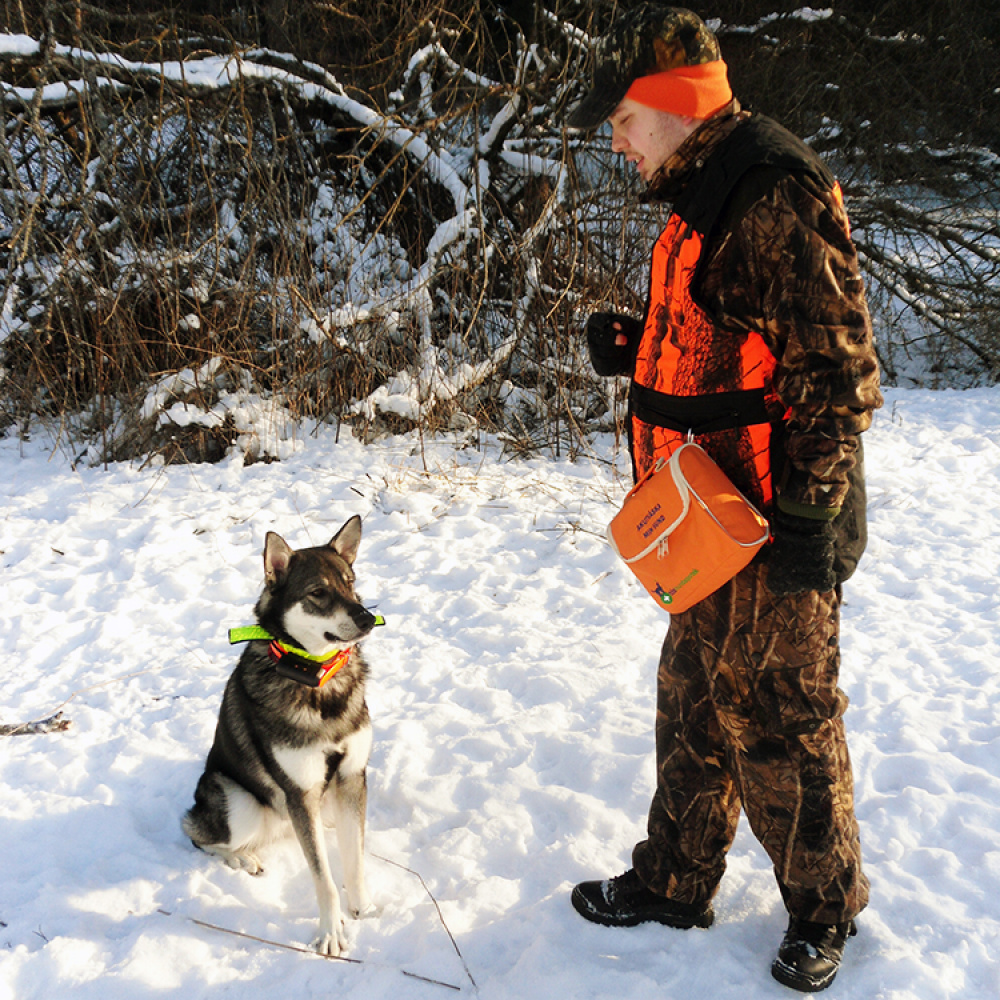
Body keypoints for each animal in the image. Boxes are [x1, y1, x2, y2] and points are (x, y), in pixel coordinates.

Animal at [180, 520, 378, 956]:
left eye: (350, 583)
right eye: (317, 593)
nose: (368, 619)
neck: (318, 680)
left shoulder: (352, 776)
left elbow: (355, 861)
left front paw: (363, 907)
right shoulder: (300, 791)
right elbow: (323, 878)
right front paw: (331, 931)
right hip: (238, 804)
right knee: (196, 833)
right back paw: (243, 858)